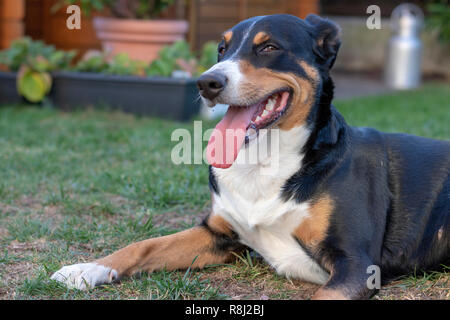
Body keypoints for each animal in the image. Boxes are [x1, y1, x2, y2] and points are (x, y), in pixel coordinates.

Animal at [50, 14, 450, 300]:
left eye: (269, 47)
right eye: (221, 50)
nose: (206, 83)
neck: (265, 160)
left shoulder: (356, 263)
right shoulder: (218, 235)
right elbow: (144, 245)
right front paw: (88, 268)